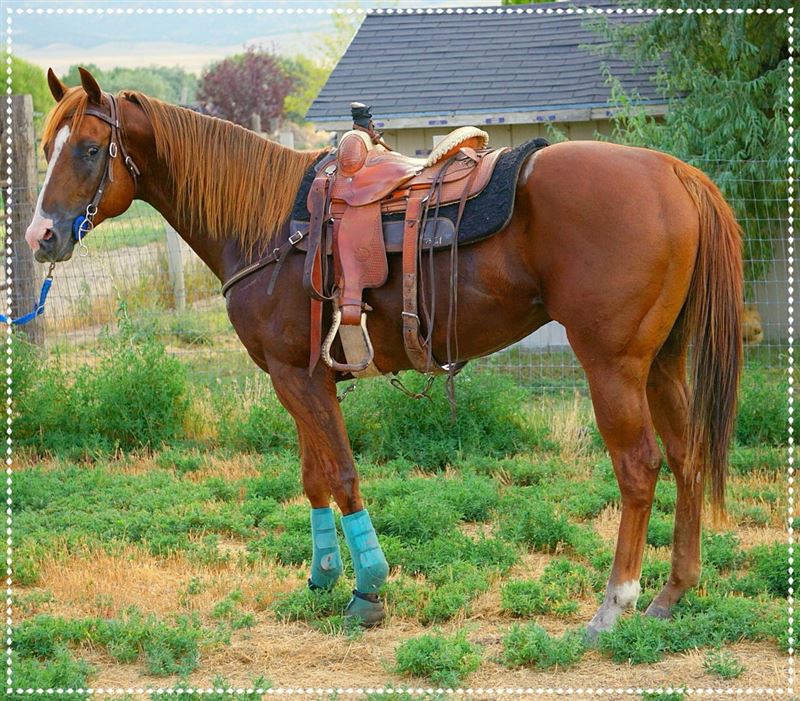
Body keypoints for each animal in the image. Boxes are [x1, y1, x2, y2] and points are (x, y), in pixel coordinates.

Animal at [25, 67, 743, 638]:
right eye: (46, 148)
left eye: (89, 149)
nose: (41, 236)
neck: (271, 223)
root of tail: (673, 171)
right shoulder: (303, 377)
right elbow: (314, 475)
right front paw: (321, 576)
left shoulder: (296, 377)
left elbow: (342, 474)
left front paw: (367, 588)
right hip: (664, 361)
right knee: (687, 456)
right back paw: (673, 592)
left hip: (612, 365)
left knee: (639, 466)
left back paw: (613, 605)